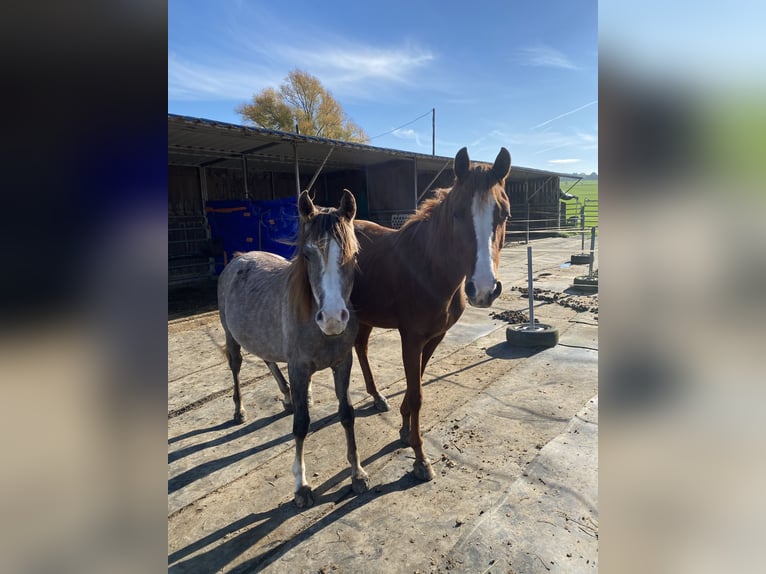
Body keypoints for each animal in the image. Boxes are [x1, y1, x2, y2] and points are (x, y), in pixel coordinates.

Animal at [216, 190, 372, 508]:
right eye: (307, 255)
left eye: (353, 255)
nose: (333, 319)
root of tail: (238, 259)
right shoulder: (299, 369)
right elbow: (301, 424)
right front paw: (301, 486)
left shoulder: (343, 363)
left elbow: (347, 414)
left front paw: (357, 473)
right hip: (231, 337)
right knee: (236, 367)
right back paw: (240, 410)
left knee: (268, 361)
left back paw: (286, 397)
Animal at [352, 147, 510, 482]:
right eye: (457, 213)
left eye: (503, 214)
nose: (484, 289)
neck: (429, 269)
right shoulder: (410, 338)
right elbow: (417, 394)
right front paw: (420, 459)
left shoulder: (435, 337)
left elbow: (417, 385)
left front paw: (402, 428)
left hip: (365, 316)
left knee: (361, 347)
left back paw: (377, 397)